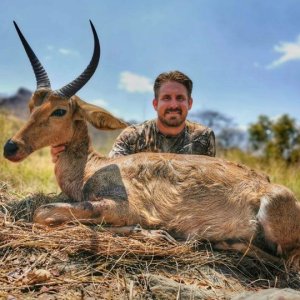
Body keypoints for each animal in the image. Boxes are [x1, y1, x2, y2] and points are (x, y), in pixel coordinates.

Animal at [3, 21, 300, 270]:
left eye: (60, 110)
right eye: (31, 105)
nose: (11, 147)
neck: (92, 167)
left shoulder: (120, 206)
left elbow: (43, 212)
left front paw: (153, 231)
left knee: (287, 261)